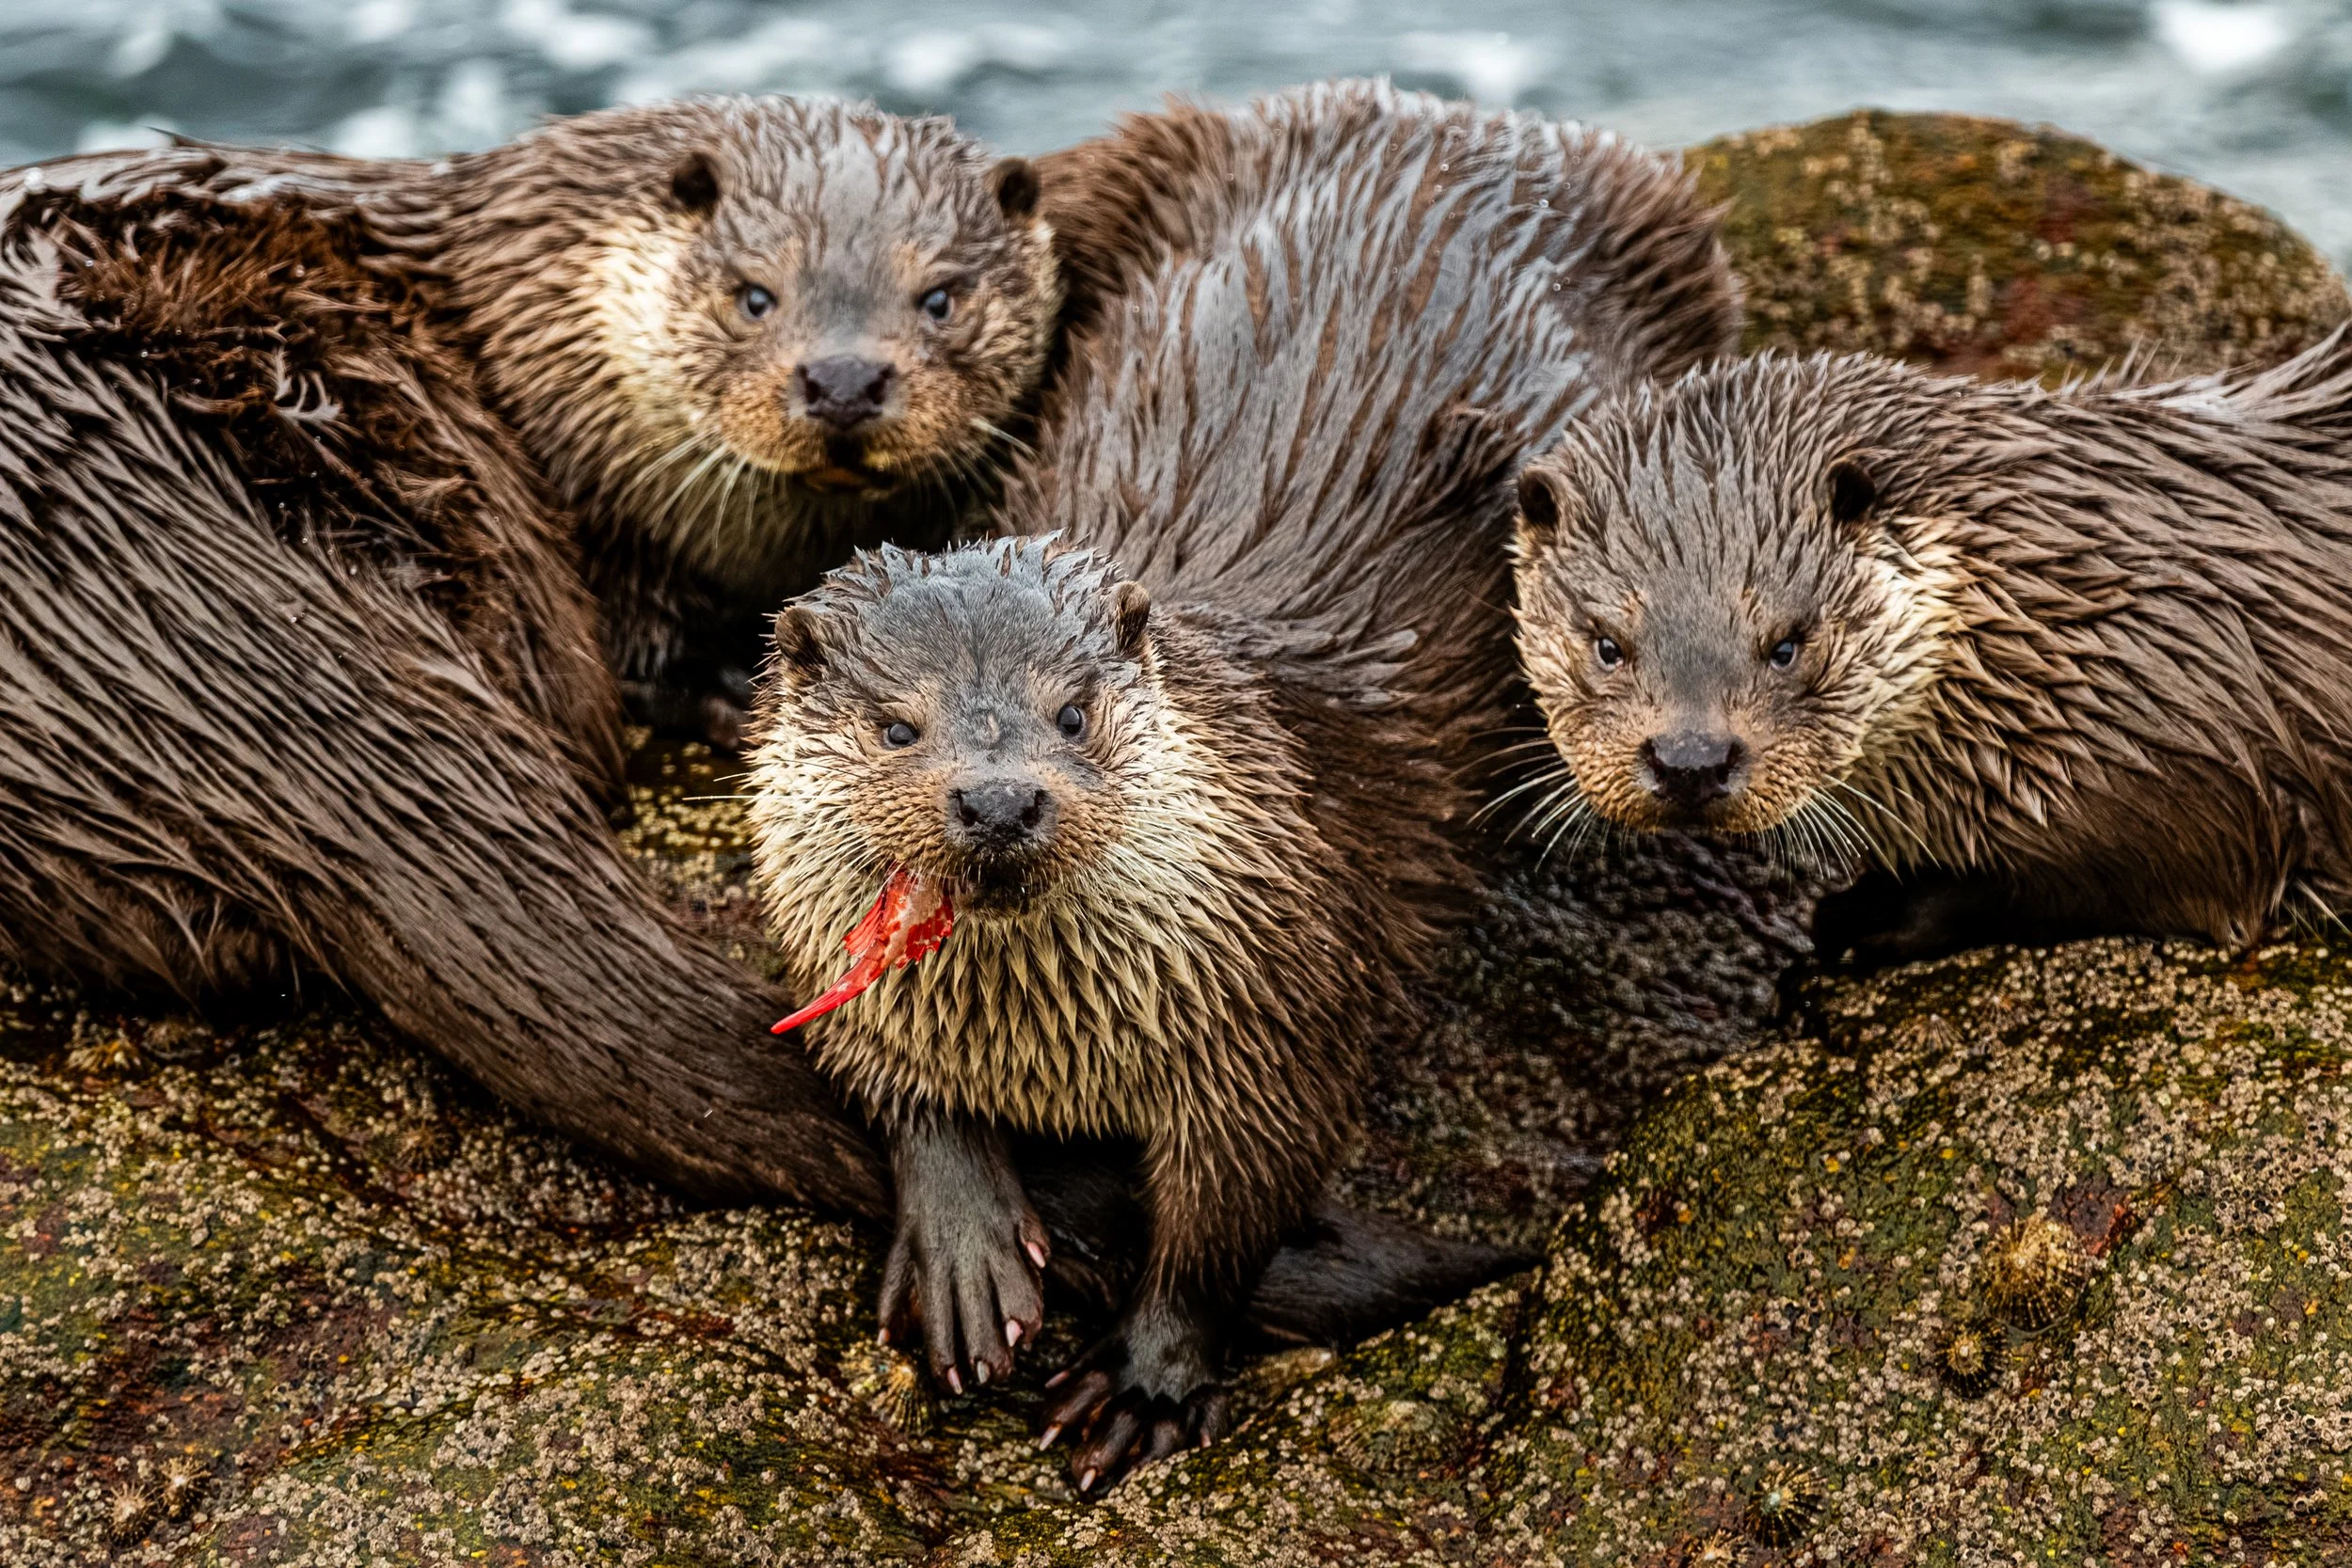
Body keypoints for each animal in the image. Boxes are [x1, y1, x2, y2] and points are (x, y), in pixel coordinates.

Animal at [748, 79, 1739, 1490]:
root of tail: (1436, 111)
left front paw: (1148, 1376)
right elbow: (883, 1075)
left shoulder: (1276, 1003)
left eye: (1073, 710)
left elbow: (1232, 1211)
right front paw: (966, 1247)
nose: (998, 798)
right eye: (896, 725)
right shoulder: (814, 932)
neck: (1047, 1041)